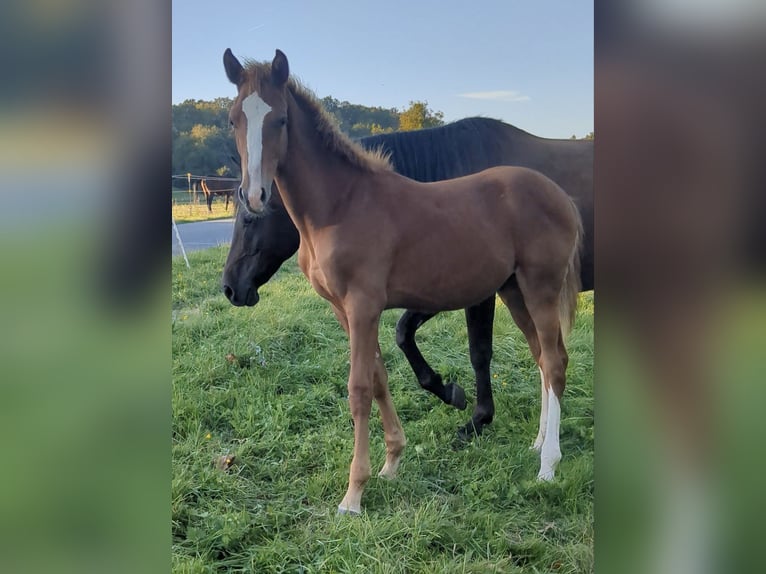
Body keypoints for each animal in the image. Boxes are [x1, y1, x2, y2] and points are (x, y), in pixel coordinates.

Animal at [225, 49, 584, 516]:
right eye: (234, 118)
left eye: (281, 119)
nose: (255, 196)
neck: (341, 204)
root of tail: (561, 196)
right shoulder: (344, 311)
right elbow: (379, 378)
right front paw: (392, 462)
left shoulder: (364, 305)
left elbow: (359, 388)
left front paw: (353, 494)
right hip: (514, 290)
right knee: (542, 357)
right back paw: (538, 443)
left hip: (540, 286)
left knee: (555, 362)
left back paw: (548, 466)